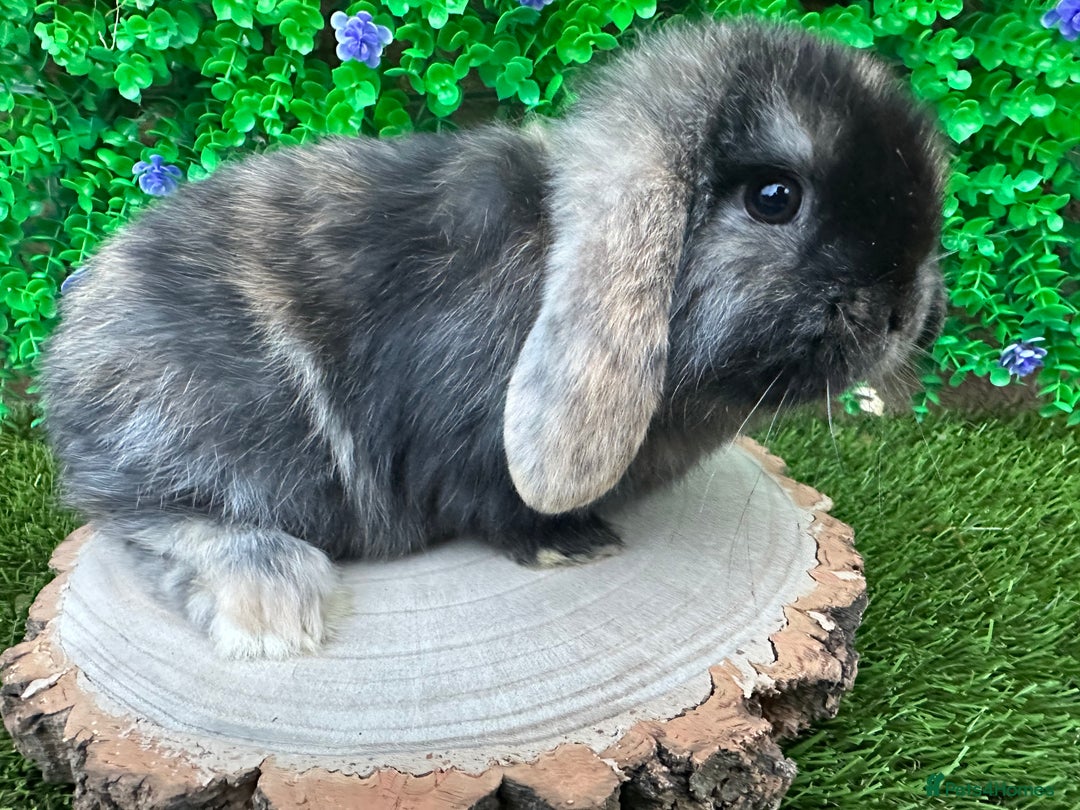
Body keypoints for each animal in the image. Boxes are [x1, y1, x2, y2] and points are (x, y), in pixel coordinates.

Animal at [43, 17, 948, 659]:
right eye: (773, 196)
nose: (904, 313)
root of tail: (68, 370)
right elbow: (499, 509)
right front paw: (574, 548)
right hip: (201, 438)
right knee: (146, 518)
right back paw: (272, 608)